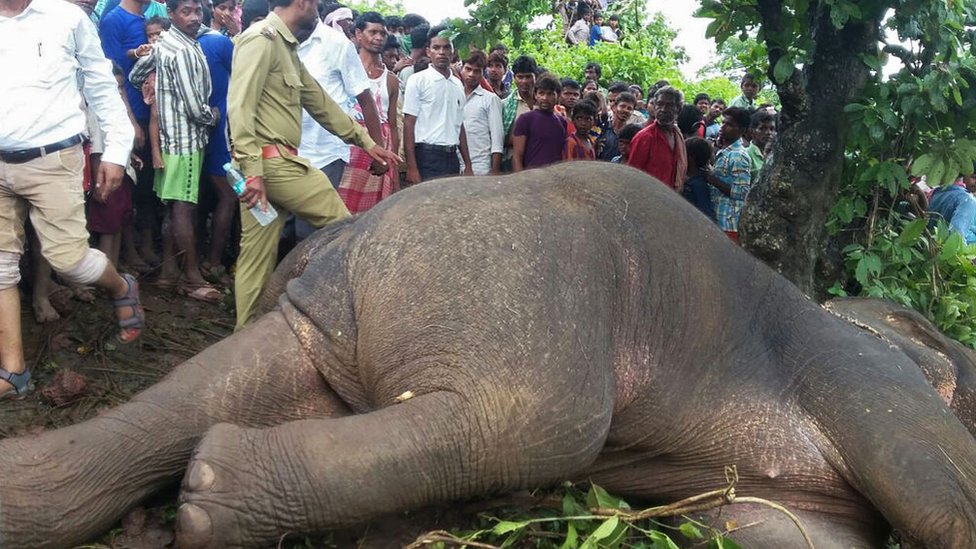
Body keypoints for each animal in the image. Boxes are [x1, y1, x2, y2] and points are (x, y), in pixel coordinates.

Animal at [0, 162, 974, 549]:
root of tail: (346, 231)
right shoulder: (873, 375)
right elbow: (944, 493)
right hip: (522, 291)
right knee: (523, 427)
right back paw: (211, 496)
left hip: (363, 301)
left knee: (230, 383)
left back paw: (57, 493)